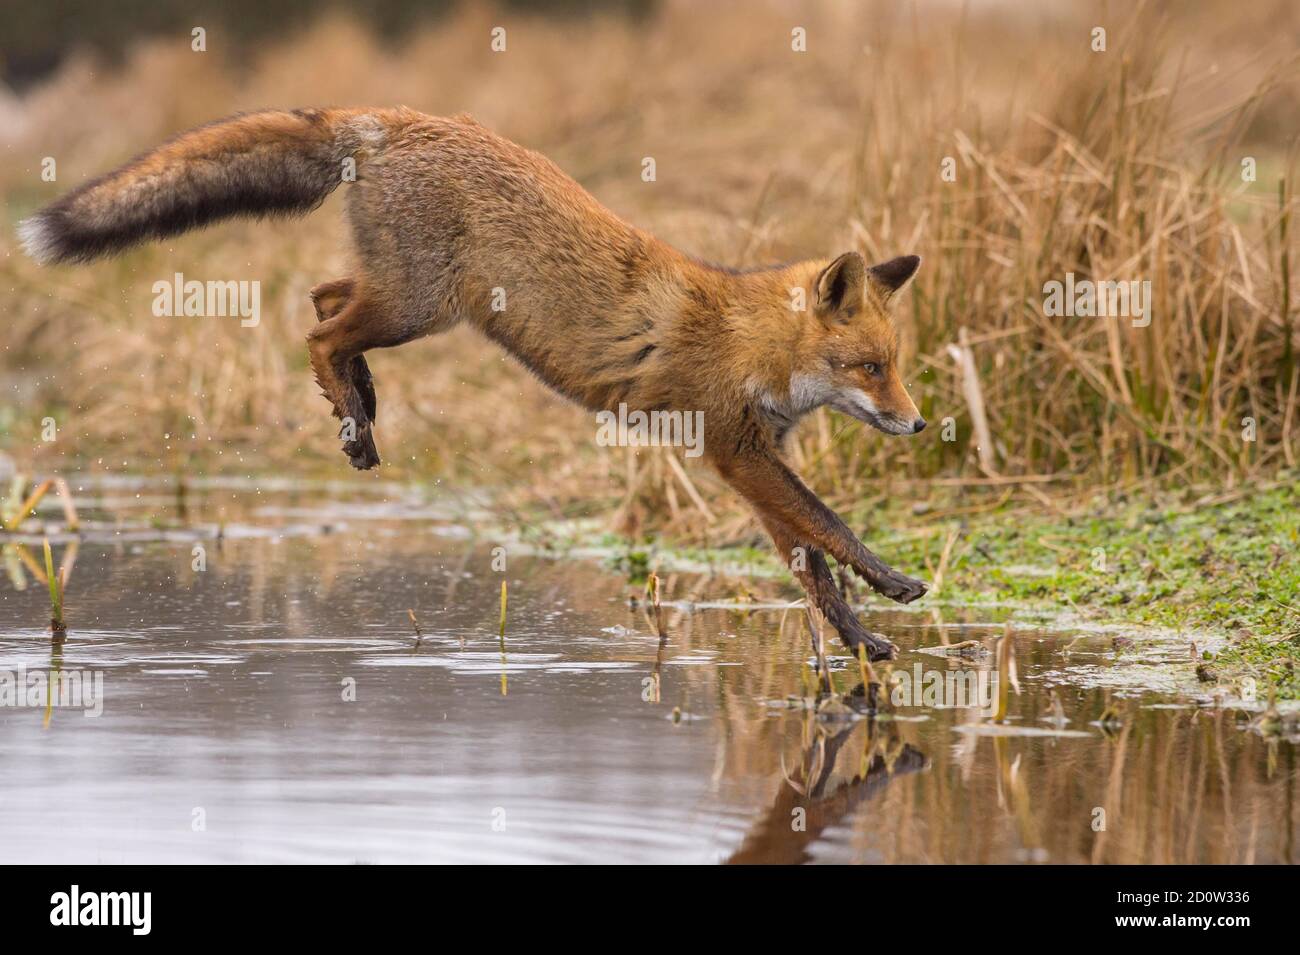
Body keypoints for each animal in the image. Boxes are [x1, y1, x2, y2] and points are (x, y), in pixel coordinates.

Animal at [22, 104, 935, 657]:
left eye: (896, 367)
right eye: (870, 368)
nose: (921, 425)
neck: (753, 342)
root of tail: (395, 117)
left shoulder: (752, 460)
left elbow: (811, 563)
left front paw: (859, 637)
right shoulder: (734, 449)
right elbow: (830, 526)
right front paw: (893, 581)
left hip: (402, 296)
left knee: (321, 296)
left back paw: (357, 400)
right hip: (421, 304)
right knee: (319, 328)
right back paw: (354, 415)